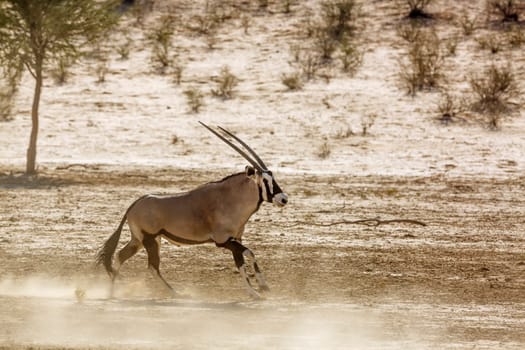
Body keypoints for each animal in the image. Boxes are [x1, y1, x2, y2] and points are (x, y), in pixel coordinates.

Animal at [96, 122, 288, 298]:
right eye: (265, 180)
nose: (283, 198)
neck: (230, 199)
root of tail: (135, 204)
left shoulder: (235, 239)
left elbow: (242, 262)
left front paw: (257, 290)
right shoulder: (224, 241)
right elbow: (249, 253)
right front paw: (260, 289)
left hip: (141, 240)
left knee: (121, 256)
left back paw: (113, 293)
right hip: (149, 240)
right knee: (152, 266)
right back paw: (174, 293)